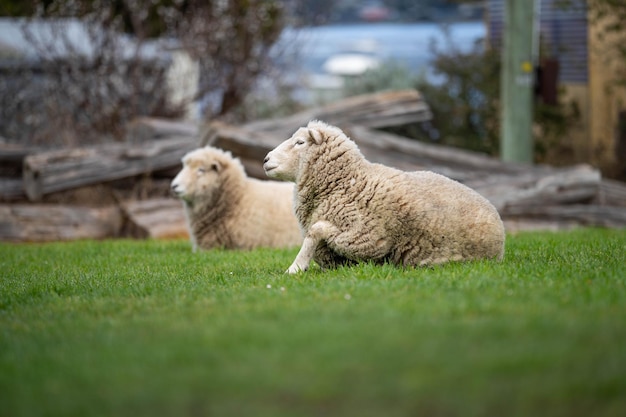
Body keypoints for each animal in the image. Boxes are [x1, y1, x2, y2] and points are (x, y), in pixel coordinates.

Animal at [260, 119, 504, 272]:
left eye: (300, 142)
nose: (265, 159)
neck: (346, 182)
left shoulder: (366, 239)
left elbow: (316, 229)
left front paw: (295, 267)